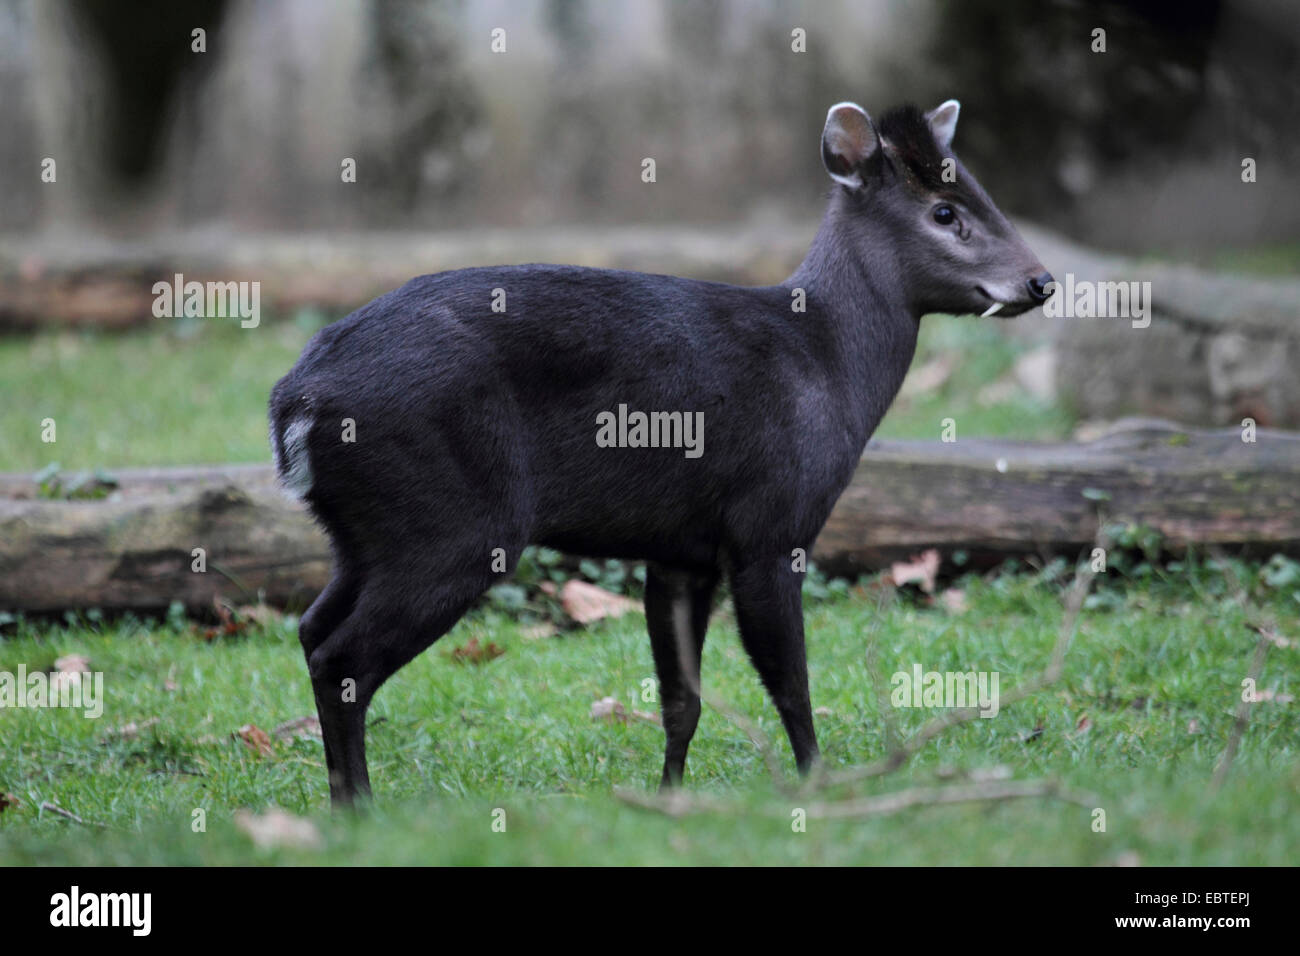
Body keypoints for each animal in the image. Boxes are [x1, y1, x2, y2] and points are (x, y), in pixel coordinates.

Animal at [269, 100, 1050, 806]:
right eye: (945, 211)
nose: (1041, 281)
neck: (826, 361)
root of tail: (296, 399)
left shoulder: (680, 551)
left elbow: (683, 696)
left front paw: (669, 792)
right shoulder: (771, 526)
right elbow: (789, 681)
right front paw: (819, 780)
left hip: (368, 534)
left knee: (312, 629)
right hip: (452, 523)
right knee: (344, 655)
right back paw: (360, 808)